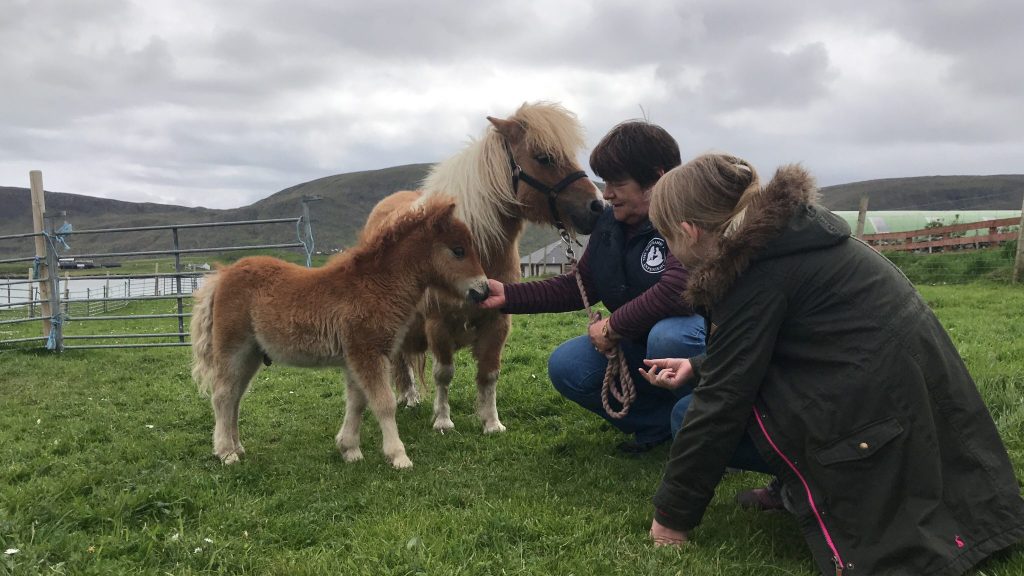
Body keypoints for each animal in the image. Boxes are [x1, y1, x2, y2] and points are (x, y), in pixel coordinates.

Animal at [189, 197, 488, 469]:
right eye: (458, 250)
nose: (483, 290)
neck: (375, 286)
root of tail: (222, 275)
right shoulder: (367, 353)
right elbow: (384, 402)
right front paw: (398, 456)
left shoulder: (355, 358)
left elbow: (357, 402)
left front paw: (350, 450)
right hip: (233, 348)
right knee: (223, 395)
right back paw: (226, 453)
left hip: (252, 354)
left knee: (236, 396)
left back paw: (237, 447)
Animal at [364, 101, 603, 435]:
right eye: (544, 157)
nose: (598, 206)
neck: (476, 250)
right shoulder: (437, 325)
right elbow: (443, 374)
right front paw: (443, 420)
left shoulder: (498, 322)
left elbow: (489, 375)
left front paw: (491, 422)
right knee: (399, 360)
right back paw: (408, 397)